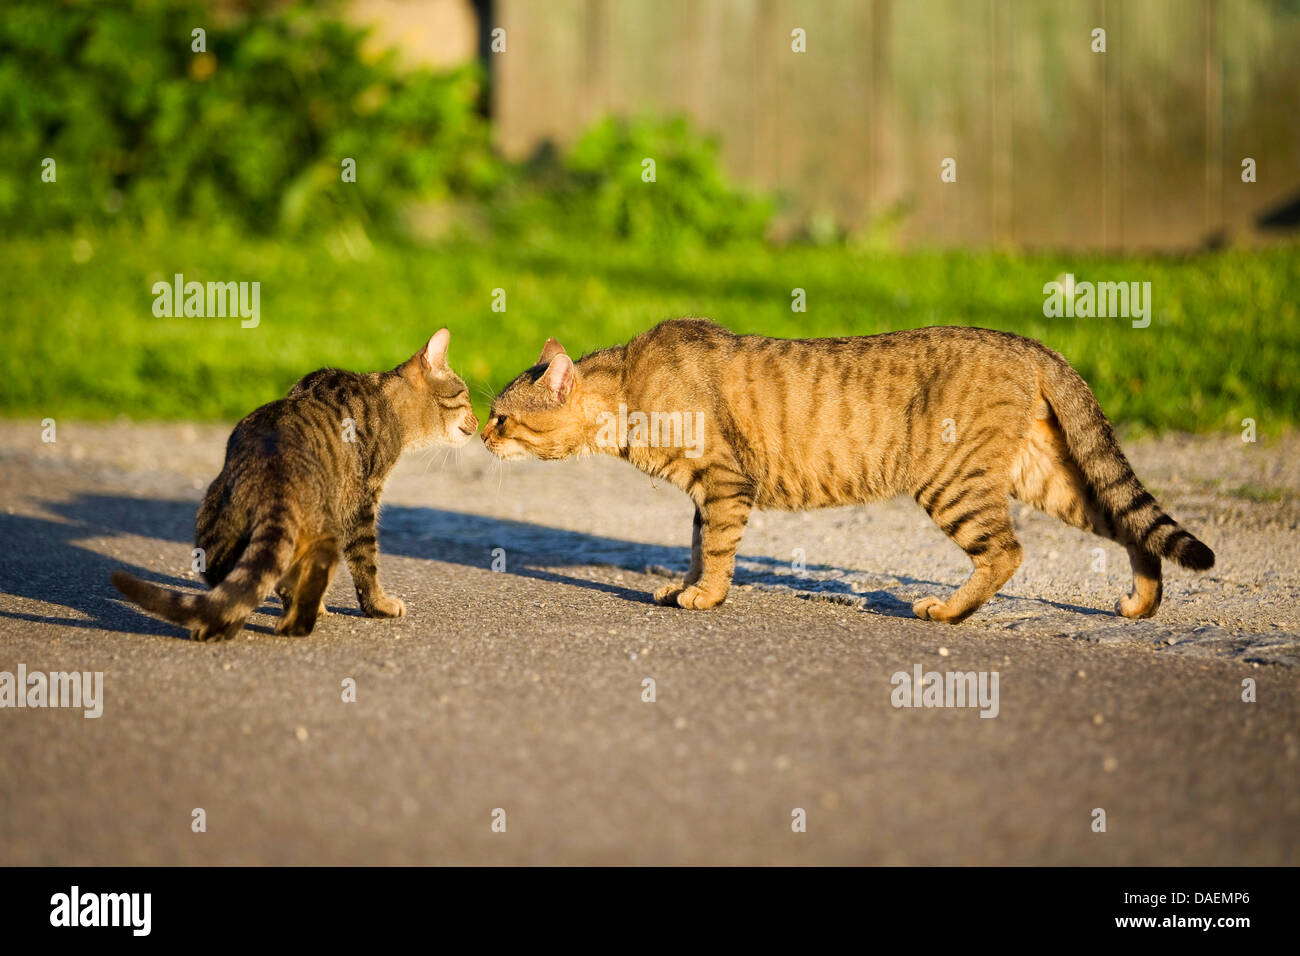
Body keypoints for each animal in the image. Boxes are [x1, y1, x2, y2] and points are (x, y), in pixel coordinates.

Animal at [110, 330, 478, 642]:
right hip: (326, 530)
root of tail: (274, 477)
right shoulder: (362, 504)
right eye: (466, 396)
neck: (386, 400)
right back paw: (299, 622)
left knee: (240, 583)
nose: (478, 421)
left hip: (214, 530)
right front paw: (379, 606)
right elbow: (366, 565)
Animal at [483, 317, 1211, 624]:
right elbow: (695, 546)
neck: (630, 391)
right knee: (1128, 523)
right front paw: (684, 587)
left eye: (502, 417)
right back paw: (1140, 602)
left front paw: (704, 598)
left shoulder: (724, 482)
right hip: (1046, 474)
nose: (480, 435)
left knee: (1007, 551)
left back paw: (947, 611)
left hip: (950, 481)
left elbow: (714, 550)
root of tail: (1032, 345)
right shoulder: (706, 493)